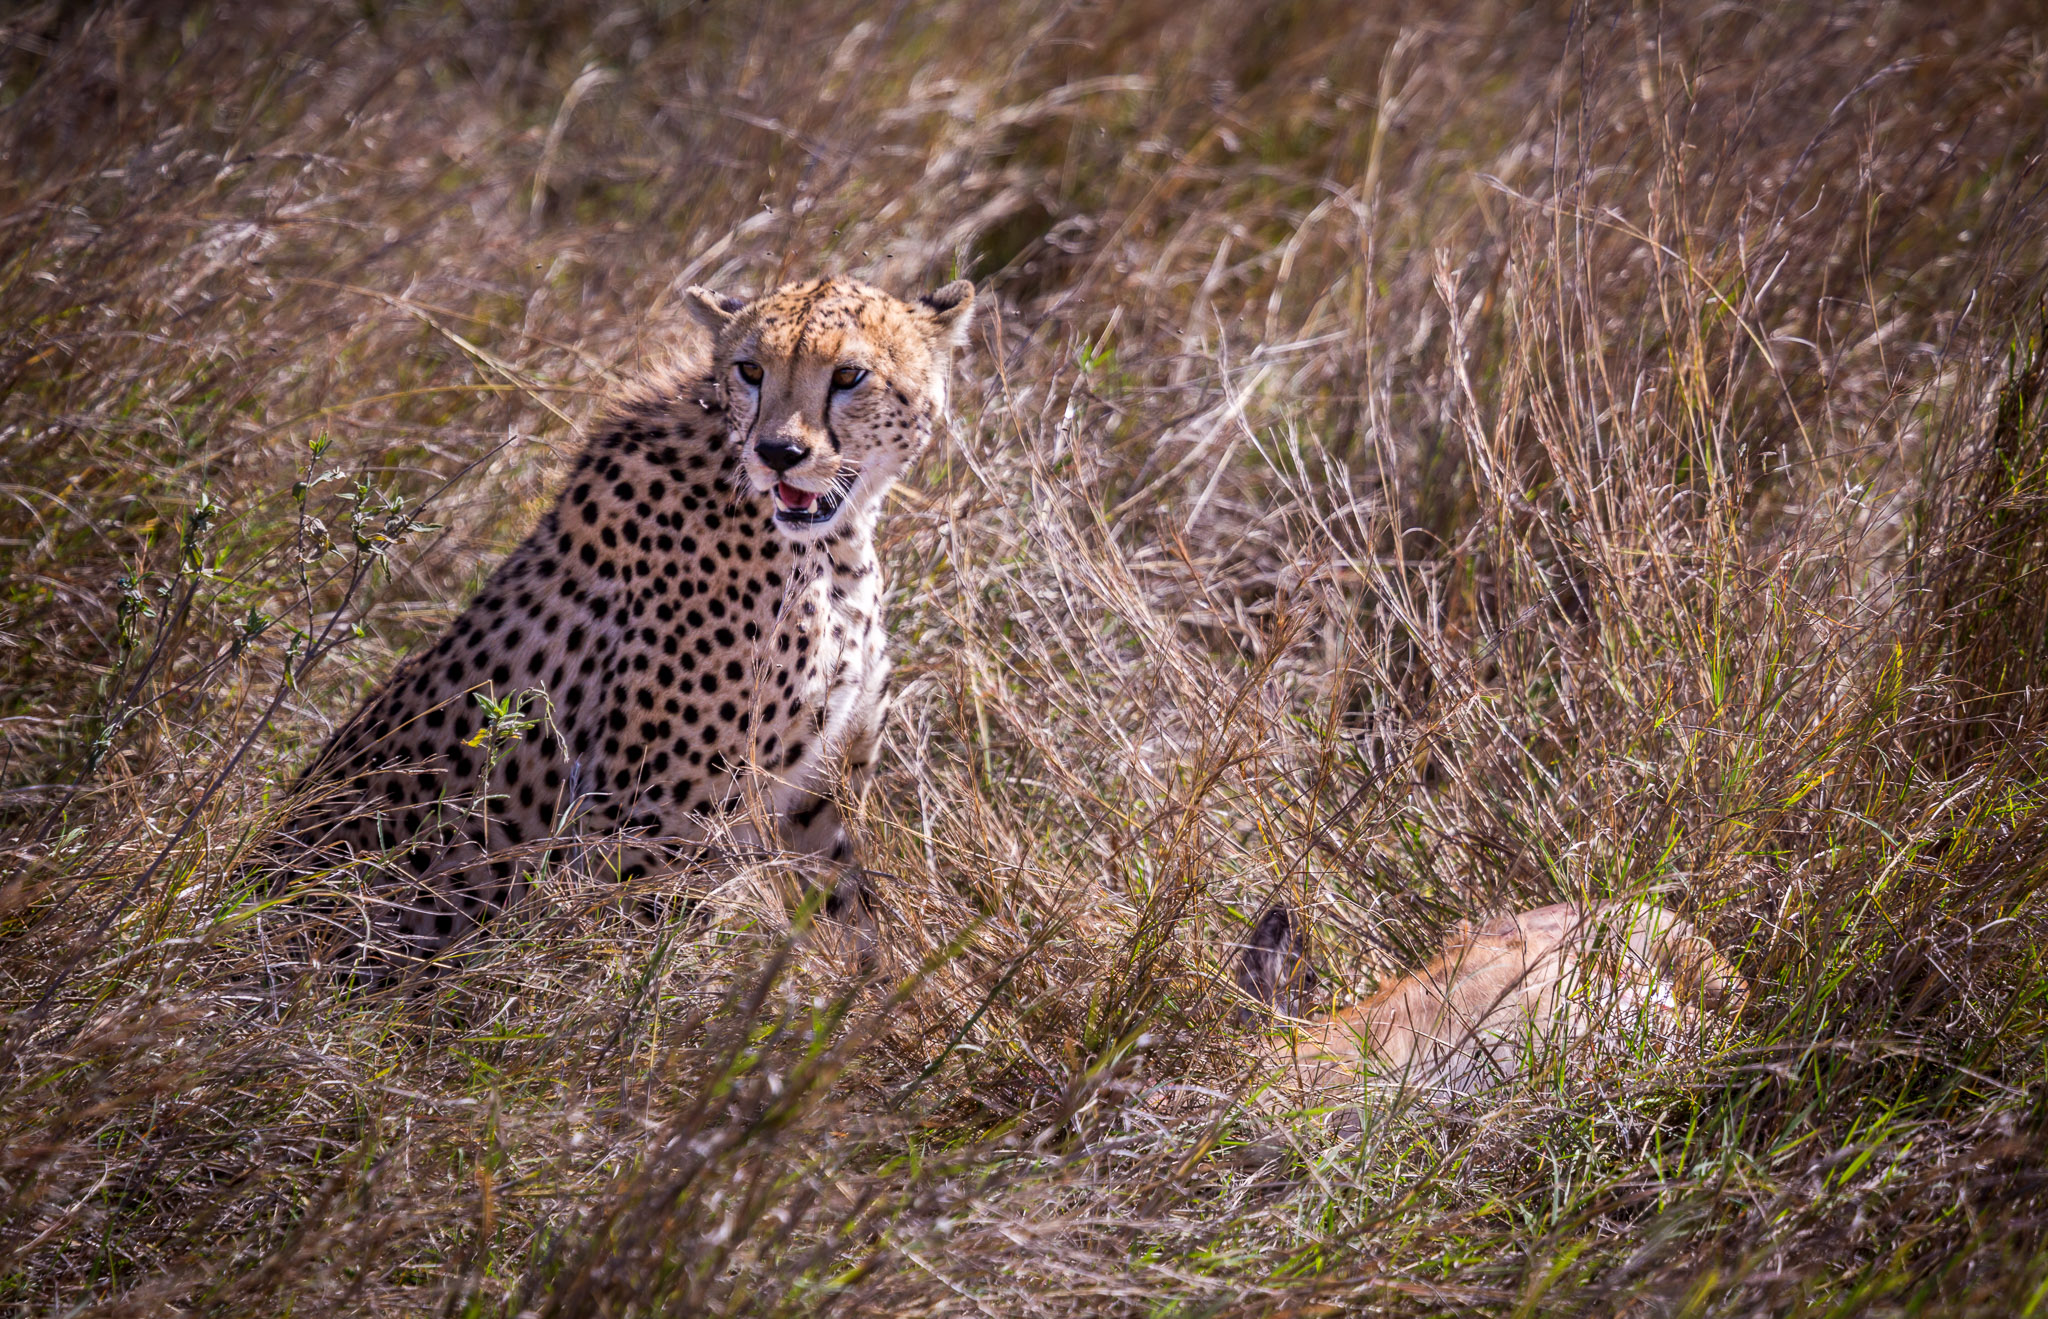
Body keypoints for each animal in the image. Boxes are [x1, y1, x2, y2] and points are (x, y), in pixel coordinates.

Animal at [280, 272, 974, 966]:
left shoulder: (819, 794)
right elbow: (635, 975)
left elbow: (856, 929)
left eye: (850, 375)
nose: (778, 452)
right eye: (751, 370)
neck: (833, 546)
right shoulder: (649, 826)